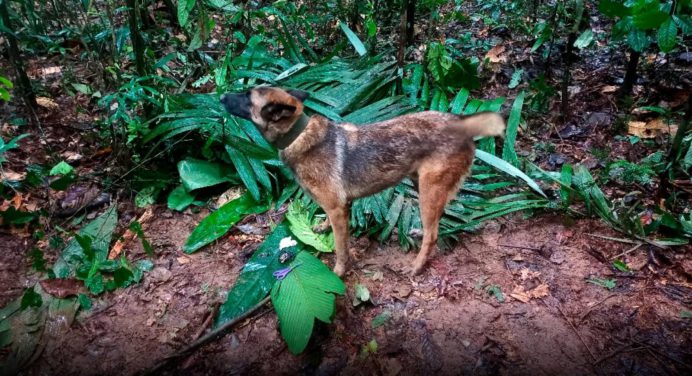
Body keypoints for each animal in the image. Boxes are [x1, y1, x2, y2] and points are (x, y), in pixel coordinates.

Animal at [224, 86, 506, 274]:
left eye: (247, 96)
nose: (221, 96)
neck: (298, 135)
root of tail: (461, 123)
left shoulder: (338, 209)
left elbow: (341, 249)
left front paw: (338, 273)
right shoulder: (339, 207)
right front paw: (323, 227)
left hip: (429, 189)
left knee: (433, 234)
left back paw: (416, 266)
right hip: (422, 185)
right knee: (437, 220)